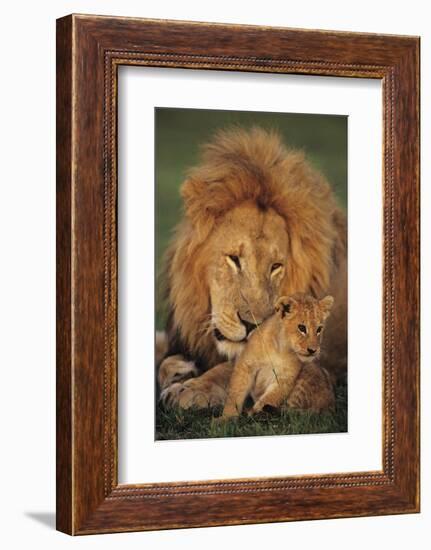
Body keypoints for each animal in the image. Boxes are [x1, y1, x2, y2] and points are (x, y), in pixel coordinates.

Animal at [159, 128, 348, 410]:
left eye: (276, 267)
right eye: (234, 259)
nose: (252, 326)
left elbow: (234, 368)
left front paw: (190, 388)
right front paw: (180, 368)